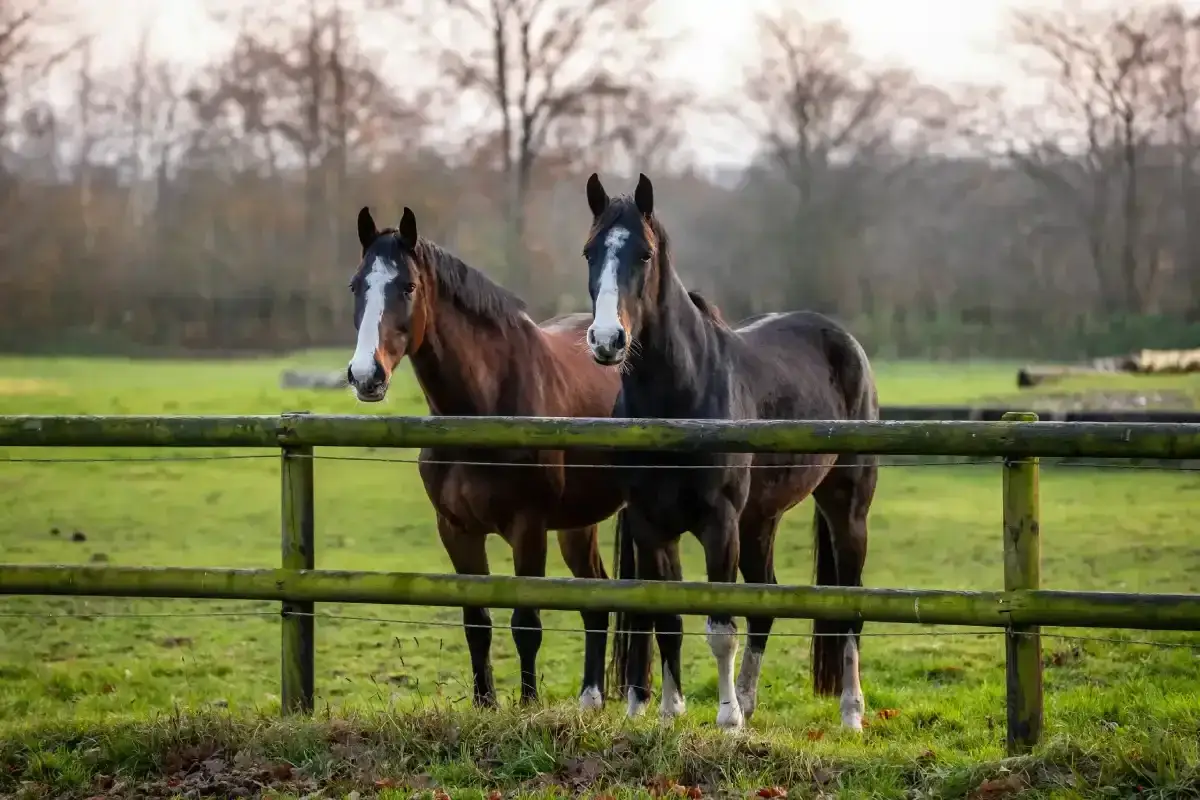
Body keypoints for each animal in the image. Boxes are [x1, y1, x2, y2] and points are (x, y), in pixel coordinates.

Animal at [345, 204, 628, 710]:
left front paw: (528, 705)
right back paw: (590, 698)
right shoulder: (457, 531)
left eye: (408, 286)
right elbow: (477, 623)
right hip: (578, 524)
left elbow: (526, 624)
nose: (365, 375)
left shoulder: (528, 529)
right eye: (357, 285)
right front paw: (485, 704)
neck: (485, 407)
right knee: (594, 594)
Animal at [581, 173, 879, 732]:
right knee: (764, 603)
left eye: (645, 254)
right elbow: (668, 619)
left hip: (845, 508)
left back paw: (850, 712)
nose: (607, 340)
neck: (680, 398)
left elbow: (720, 628)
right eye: (590, 251)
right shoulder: (653, 527)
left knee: (847, 605)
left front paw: (726, 720)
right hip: (760, 520)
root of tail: (844, 340)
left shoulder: (719, 525)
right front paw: (671, 714)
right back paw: (749, 698)